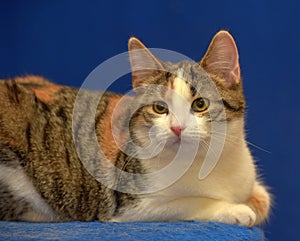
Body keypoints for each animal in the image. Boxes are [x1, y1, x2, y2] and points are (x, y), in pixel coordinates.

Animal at [0, 30, 270, 226]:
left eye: (200, 104)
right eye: (160, 108)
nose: (177, 128)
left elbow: (264, 199)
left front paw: (254, 202)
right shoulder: (131, 206)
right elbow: (188, 203)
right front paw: (234, 210)